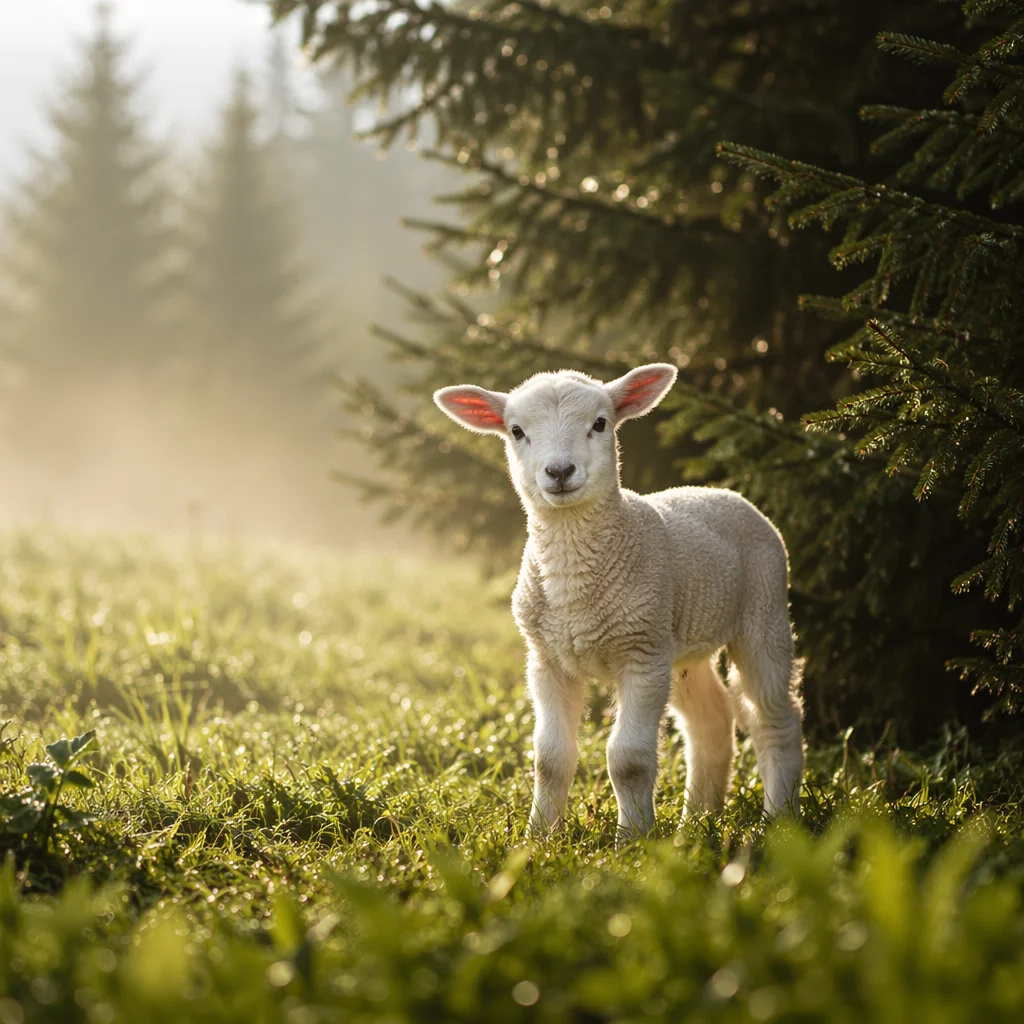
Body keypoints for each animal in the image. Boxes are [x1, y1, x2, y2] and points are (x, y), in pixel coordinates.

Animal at [434, 363, 804, 837]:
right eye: (516, 431)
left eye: (600, 423)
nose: (559, 471)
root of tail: (722, 491)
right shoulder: (548, 659)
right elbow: (549, 758)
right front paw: (540, 837)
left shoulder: (640, 655)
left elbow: (629, 760)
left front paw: (633, 841)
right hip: (680, 645)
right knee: (711, 721)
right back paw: (695, 823)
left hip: (764, 610)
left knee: (774, 717)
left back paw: (779, 819)